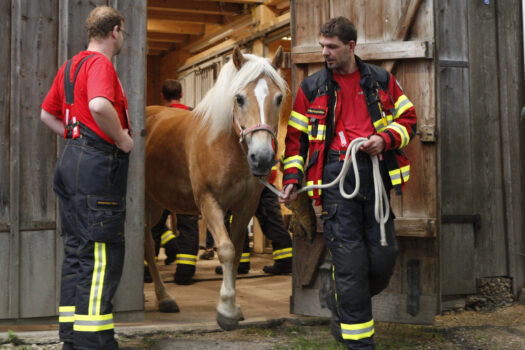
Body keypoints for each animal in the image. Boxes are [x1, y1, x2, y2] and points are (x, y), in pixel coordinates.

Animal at [144, 47, 286, 330]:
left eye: (278, 98)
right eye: (239, 98)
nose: (262, 157)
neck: (223, 143)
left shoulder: (245, 207)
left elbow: (238, 249)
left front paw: (234, 307)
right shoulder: (209, 202)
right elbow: (226, 250)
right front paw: (227, 310)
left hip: (156, 204)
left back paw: (163, 297)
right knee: (145, 243)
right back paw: (162, 296)